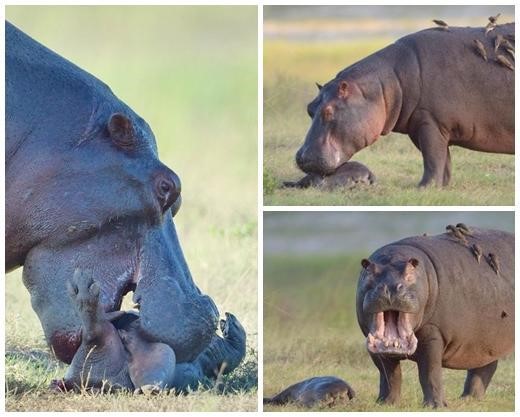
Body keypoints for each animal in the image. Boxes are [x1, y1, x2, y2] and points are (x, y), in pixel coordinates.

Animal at [294, 22, 512, 185]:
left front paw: (423, 187)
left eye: (329, 112)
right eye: (309, 108)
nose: (301, 157)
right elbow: (443, 161)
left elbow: (433, 159)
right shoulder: (421, 127)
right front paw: (441, 187)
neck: (390, 81)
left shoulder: (431, 123)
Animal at [356, 226, 512, 404]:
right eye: (368, 271)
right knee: (484, 367)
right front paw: (386, 403)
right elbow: (389, 374)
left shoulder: (433, 332)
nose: (389, 287)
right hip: (485, 341)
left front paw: (435, 405)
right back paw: (468, 399)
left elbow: (429, 371)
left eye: (410, 273)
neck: (394, 256)